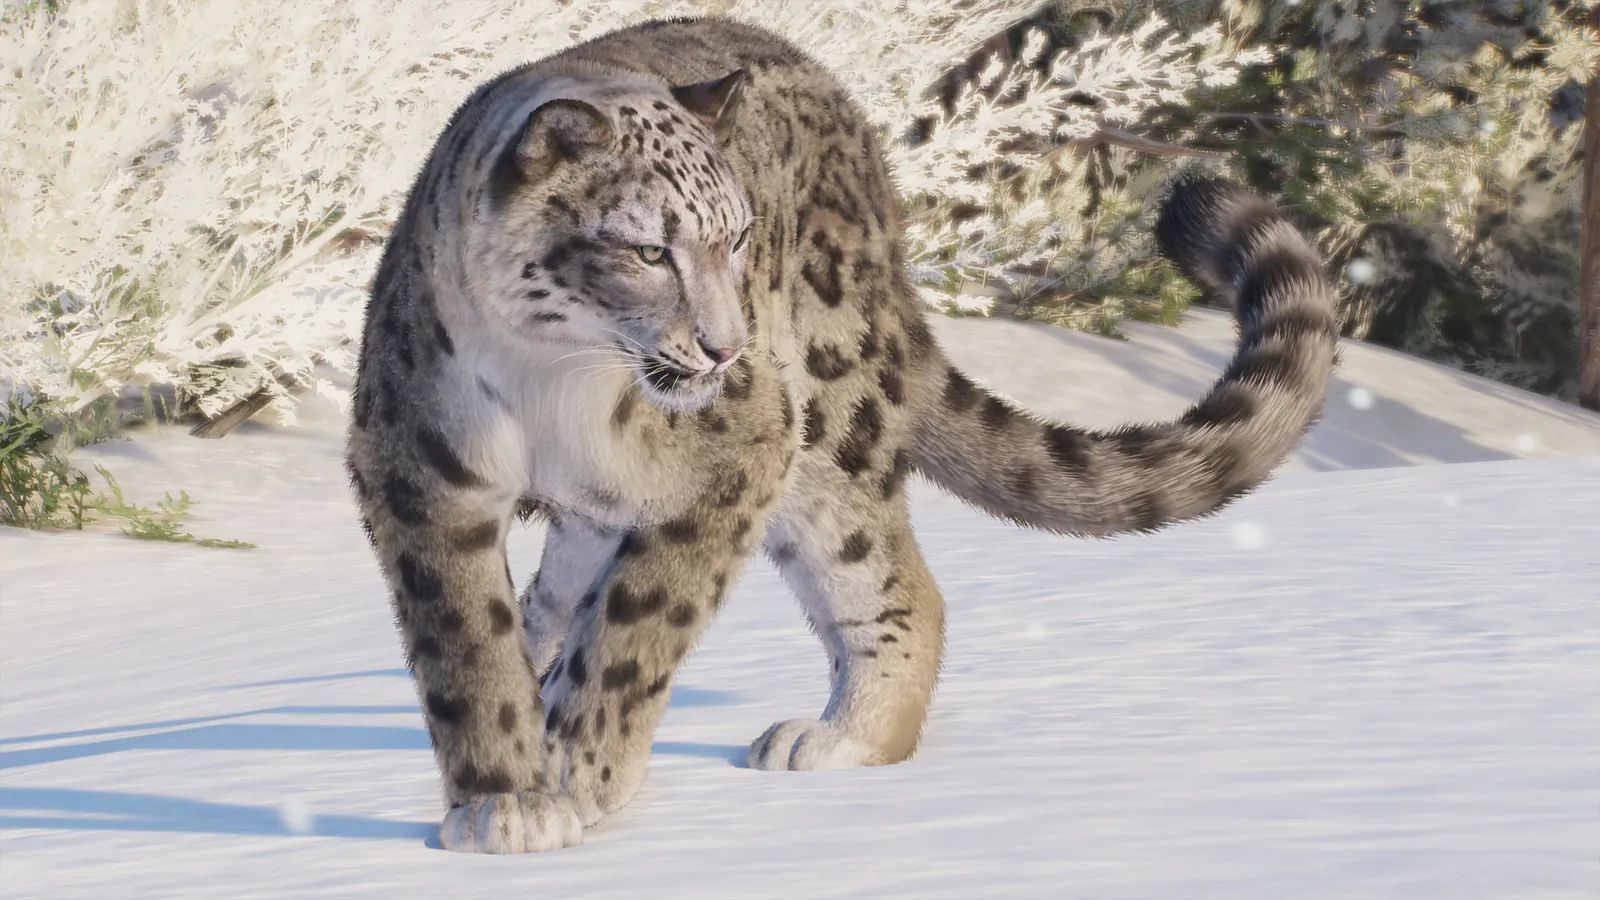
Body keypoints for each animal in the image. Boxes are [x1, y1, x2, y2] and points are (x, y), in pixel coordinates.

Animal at [344, 16, 1337, 853]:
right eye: (649, 250)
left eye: (737, 236)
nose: (725, 346)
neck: (553, 379)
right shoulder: (421, 469)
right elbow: (468, 646)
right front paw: (504, 802)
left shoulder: (740, 451)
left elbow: (639, 630)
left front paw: (583, 775)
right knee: (556, 607)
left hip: (827, 427)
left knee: (895, 581)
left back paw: (835, 740)